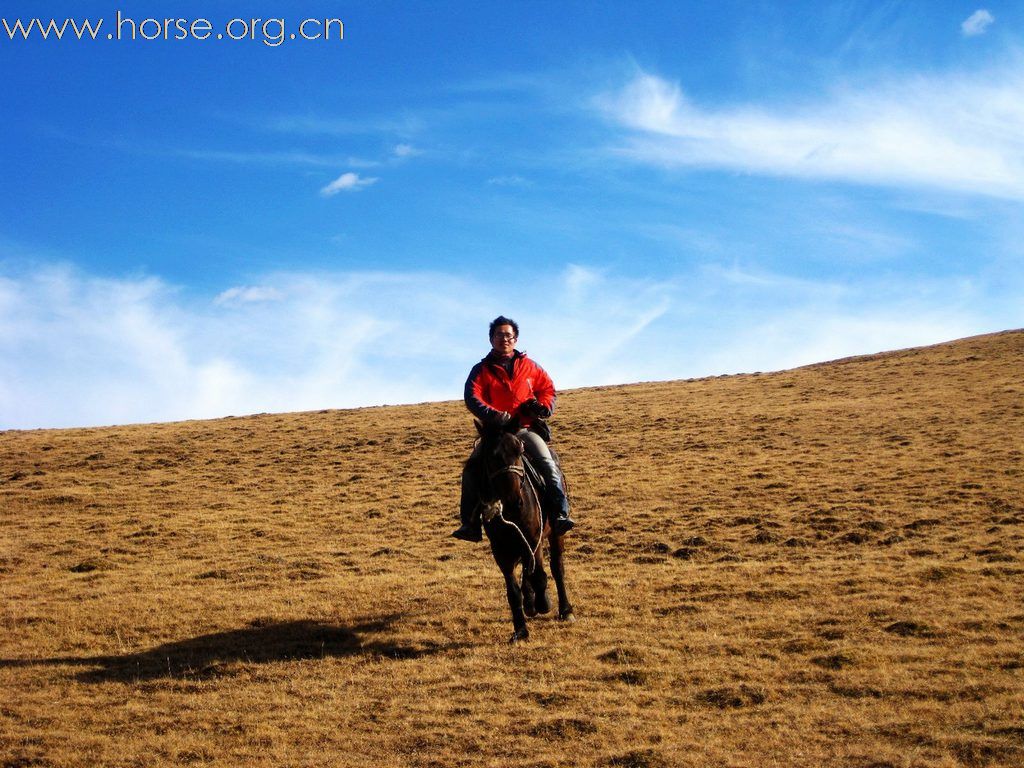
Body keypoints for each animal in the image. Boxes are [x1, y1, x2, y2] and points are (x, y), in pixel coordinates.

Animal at [473, 421, 577, 643]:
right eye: (491, 457)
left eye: (519, 451)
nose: (513, 501)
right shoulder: (500, 550)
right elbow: (513, 591)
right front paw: (520, 630)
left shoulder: (533, 538)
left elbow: (540, 575)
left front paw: (544, 603)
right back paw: (530, 603)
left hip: (555, 534)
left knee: (556, 567)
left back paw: (565, 610)